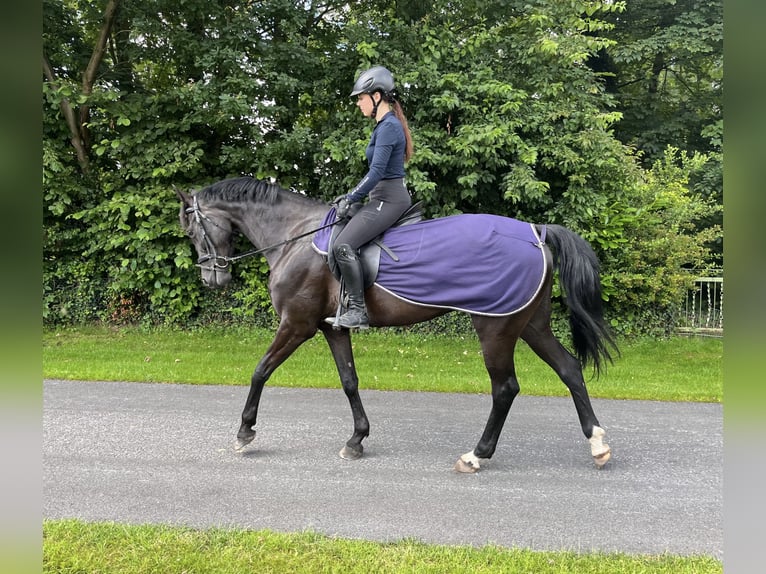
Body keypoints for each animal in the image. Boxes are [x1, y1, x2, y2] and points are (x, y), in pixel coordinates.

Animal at [177, 176, 620, 472]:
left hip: (495, 327)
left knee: (505, 388)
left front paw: (244, 432)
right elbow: (349, 380)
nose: (212, 278)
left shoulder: (297, 325)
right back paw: (597, 444)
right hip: (530, 324)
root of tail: (537, 232)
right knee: (569, 369)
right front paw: (357, 439)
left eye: (193, 228)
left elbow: (260, 370)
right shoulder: (332, 327)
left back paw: (476, 455)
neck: (295, 237)